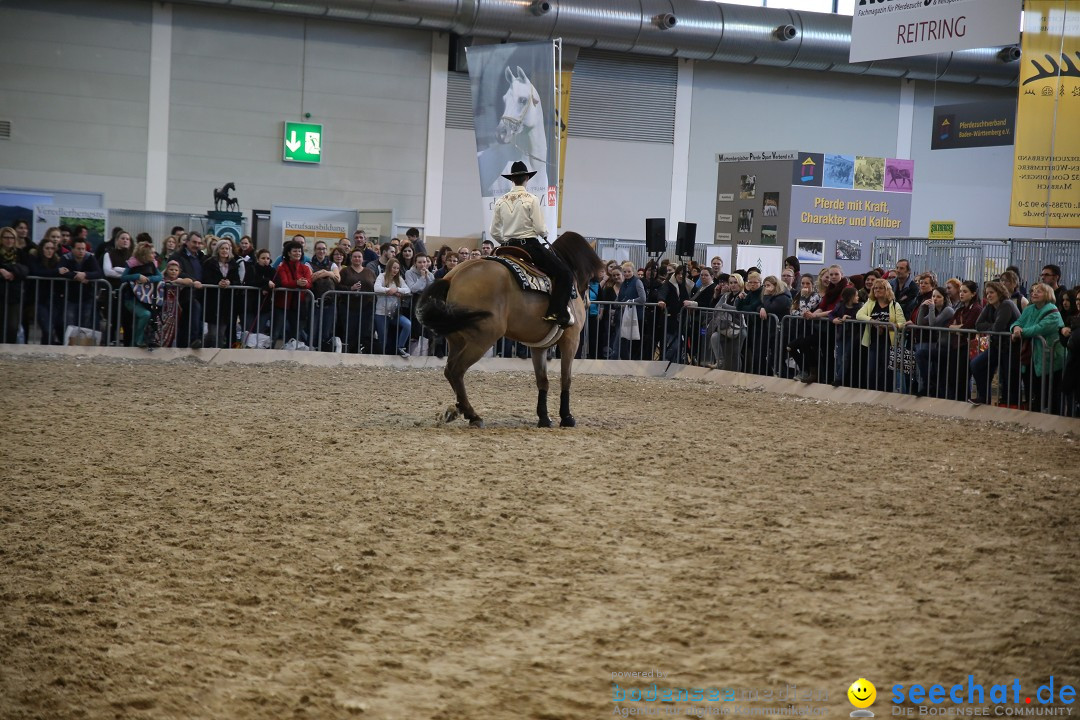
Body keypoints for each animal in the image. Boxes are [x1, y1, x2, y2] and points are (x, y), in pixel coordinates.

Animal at [412, 234, 604, 431]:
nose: (589, 301)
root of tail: (454, 276)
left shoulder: (539, 347)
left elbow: (542, 380)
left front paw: (544, 418)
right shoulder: (571, 340)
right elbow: (566, 378)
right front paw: (567, 417)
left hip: (457, 340)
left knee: (450, 371)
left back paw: (461, 410)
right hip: (483, 339)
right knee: (455, 371)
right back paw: (473, 415)